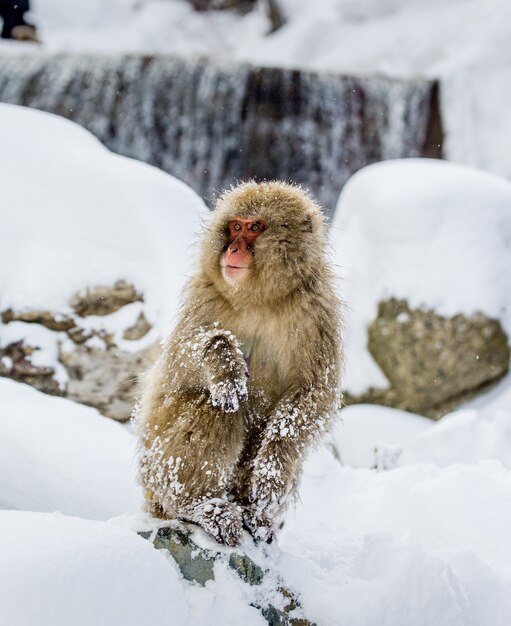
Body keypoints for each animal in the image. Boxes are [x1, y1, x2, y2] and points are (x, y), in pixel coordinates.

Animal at [138, 179, 342, 540]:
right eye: (235, 226)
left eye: (254, 228)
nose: (232, 249)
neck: (261, 299)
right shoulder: (205, 296)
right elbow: (182, 359)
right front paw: (225, 364)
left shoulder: (318, 312)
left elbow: (312, 393)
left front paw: (271, 469)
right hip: (154, 462)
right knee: (216, 408)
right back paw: (200, 507)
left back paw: (254, 514)